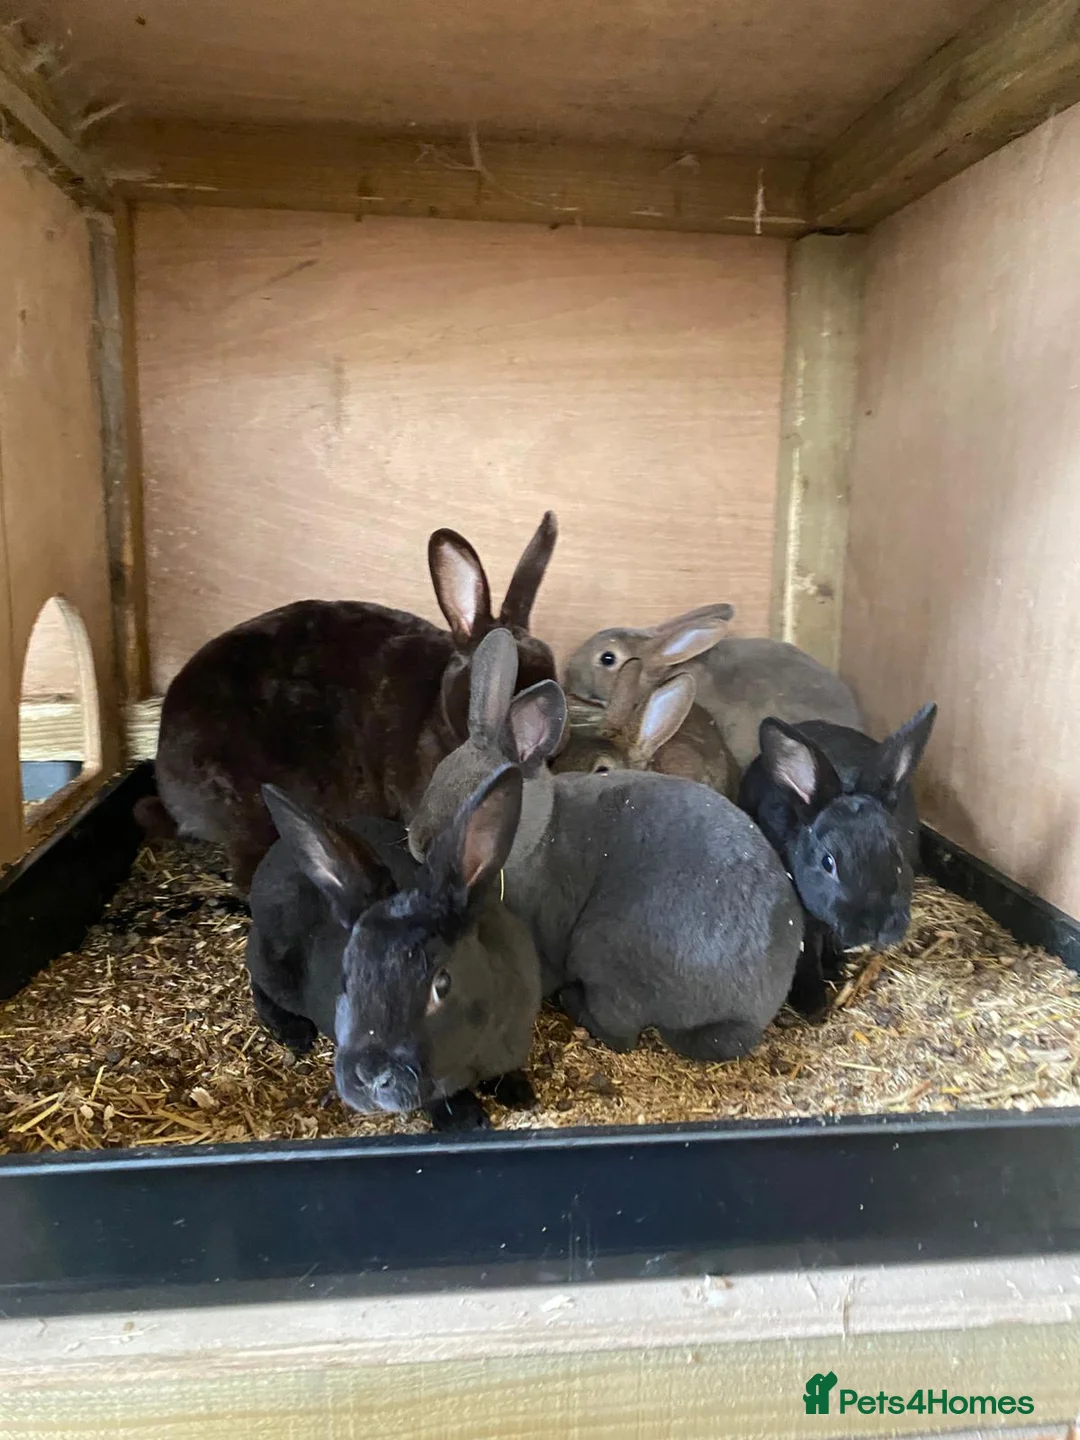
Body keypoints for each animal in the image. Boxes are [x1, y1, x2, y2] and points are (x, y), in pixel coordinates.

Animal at [246, 764, 542, 1131]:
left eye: (442, 984)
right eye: (346, 982)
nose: (371, 1076)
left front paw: (520, 1093)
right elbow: (440, 1097)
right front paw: (467, 1120)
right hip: (272, 967)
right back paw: (295, 1033)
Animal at [738, 702, 938, 1020]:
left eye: (897, 855)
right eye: (827, 863)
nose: (878, 927)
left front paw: (834, 969)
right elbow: (806, 956)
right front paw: (813, 1006)